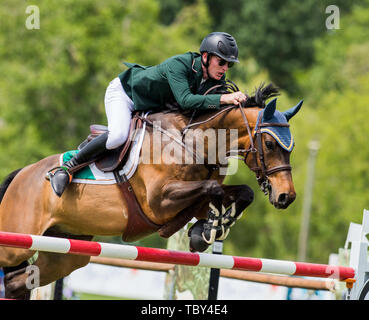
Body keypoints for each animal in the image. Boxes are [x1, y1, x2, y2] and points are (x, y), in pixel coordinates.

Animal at [0, 83, 302, 300]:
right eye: (270, 144)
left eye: (291, 147)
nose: (286, 196)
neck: (195, 142)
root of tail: (22, 175)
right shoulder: (158, 202)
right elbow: (213, 188)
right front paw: (207, 230)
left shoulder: (191, 201)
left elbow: (240, 193)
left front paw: (208, 229)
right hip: (16, 241)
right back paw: (61, 176)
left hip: (67, 253)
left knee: (18, 282)